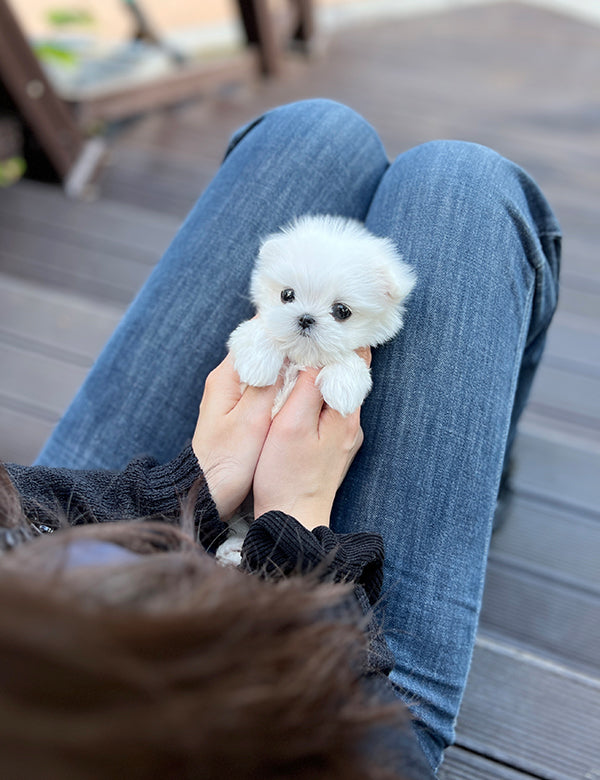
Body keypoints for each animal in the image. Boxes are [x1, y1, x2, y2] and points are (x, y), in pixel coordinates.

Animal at [227, 213, 414, 418]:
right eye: (287, 295)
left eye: (342, 311)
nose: (306, 318)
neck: (302, 357)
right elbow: (258, 331)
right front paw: (257, 364)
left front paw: (344, 386)